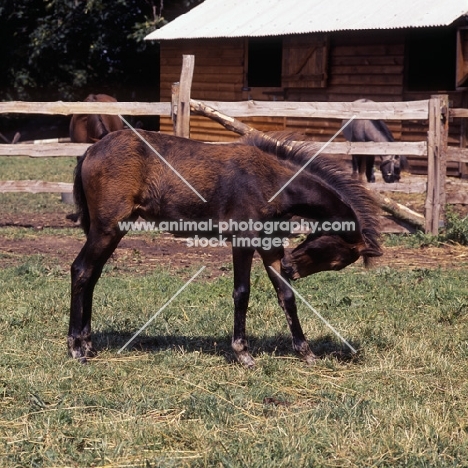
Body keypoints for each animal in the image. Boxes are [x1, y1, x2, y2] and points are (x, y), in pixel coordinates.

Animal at [69, 130, 382, 368]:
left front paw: (306, 352)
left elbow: (286, 296)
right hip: (107, 228)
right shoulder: (243, 240)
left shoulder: (270, 245)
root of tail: (91, 150)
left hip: (113, 230)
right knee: (81, 270)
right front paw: (243, 354)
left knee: (93, 276)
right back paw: (75, 348)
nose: (291, 267)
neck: (272, 181)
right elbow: (242, 293)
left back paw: (88, 344)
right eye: (335, 260)